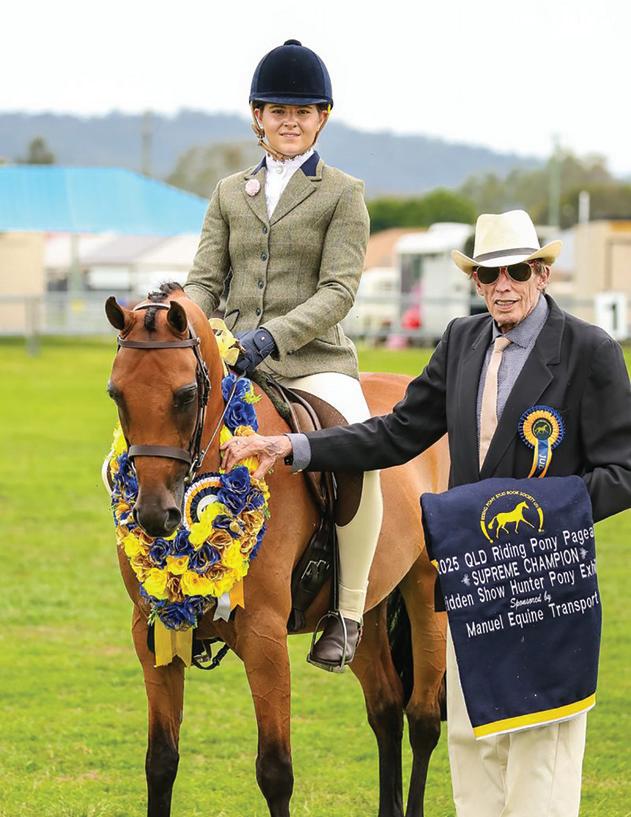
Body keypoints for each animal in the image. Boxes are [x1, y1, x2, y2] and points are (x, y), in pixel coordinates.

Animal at [105, 283, 449, 817]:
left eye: (185, 395)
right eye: (116, 393)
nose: (155, 516)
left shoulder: (264, 638)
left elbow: (274, 771)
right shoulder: (153, 631)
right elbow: (160, 762)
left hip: (426, 594)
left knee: (424, 720)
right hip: (367, 612)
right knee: (386, 710)